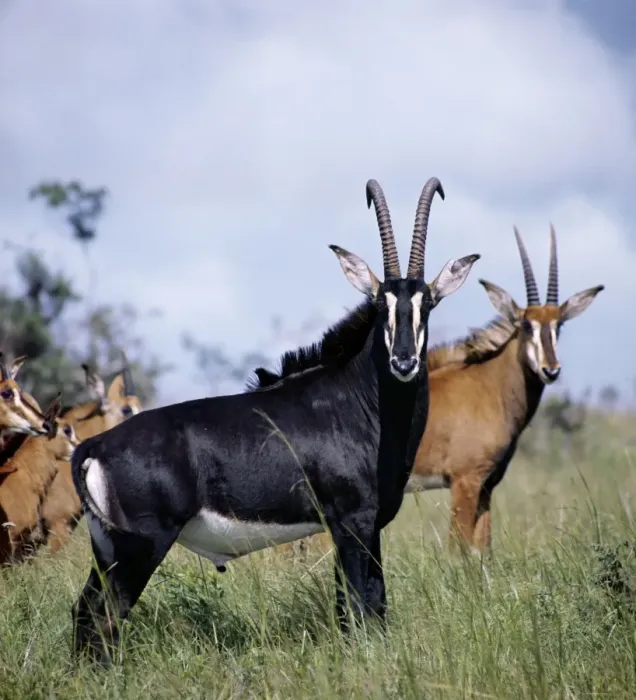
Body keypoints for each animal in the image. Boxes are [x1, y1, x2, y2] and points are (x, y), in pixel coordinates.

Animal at [70, 177, 480, 664]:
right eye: (380, 305)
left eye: (428, 304)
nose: (404, 362)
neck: (362, 404)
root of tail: (93, 447)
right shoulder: (352, 523)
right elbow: (358, 607)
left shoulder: (366, 527)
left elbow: (370, 606)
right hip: (141, 547)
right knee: (107, 615)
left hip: (107, 548)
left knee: (85, 612)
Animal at [402, 225, 603, 555]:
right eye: (526, 325)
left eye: (559, 326)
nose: (550, 370)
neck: (491, 387)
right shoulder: (465, 481)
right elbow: (458, 550)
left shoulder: (487, 486)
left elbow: (483, 549)